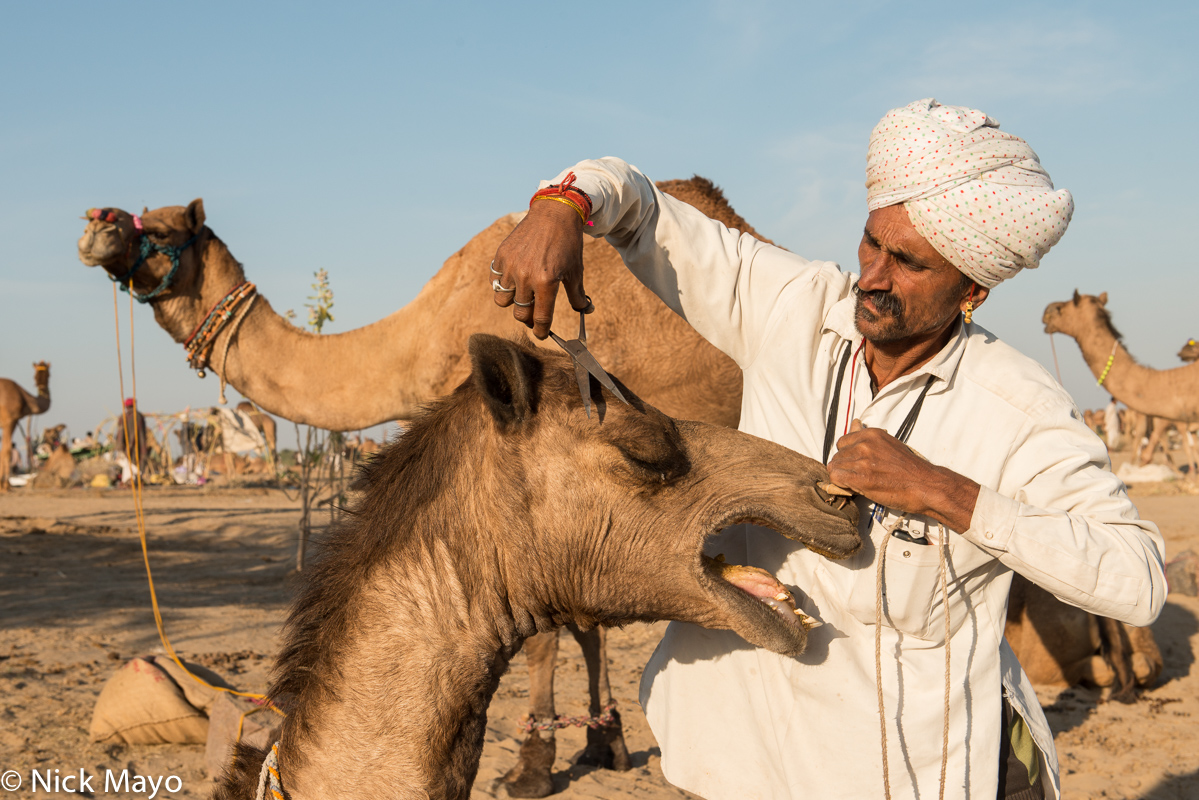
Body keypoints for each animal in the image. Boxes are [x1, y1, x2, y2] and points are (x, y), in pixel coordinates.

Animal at [77, 176, 767, 796]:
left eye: (163, 230)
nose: (95, 224)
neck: (416, 344)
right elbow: (583, 622)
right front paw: (606, 742)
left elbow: (545, 631)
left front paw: (533, 766)